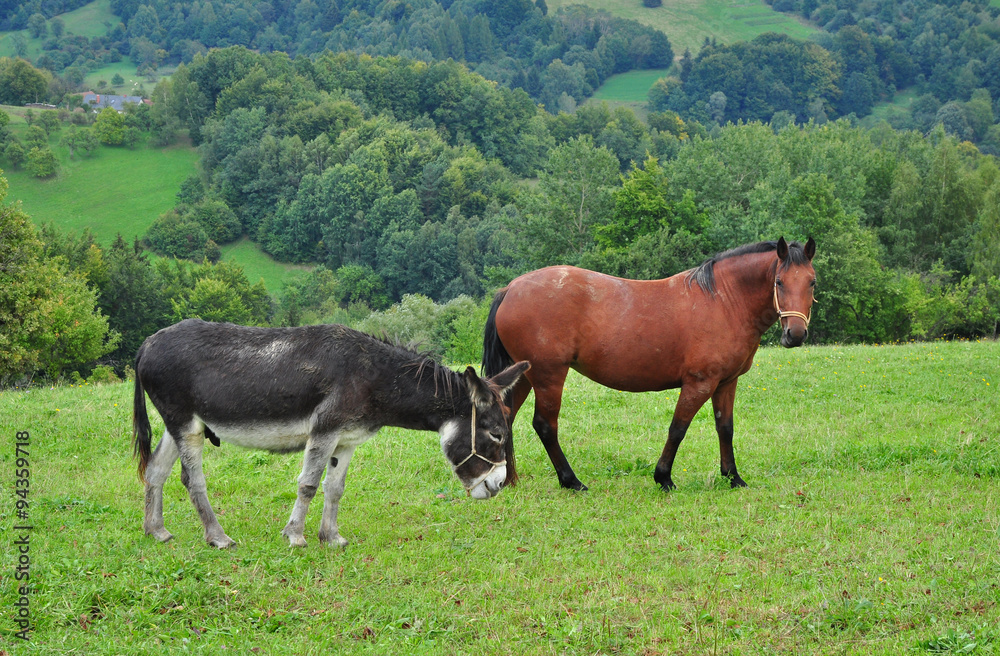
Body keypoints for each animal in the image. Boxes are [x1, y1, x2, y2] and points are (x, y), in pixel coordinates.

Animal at [484, 238, 820, 490]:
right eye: (779, 281)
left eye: (812, 282)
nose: (796, 334)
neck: (724, 301)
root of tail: (510, 289)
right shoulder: (699, 383)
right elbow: (678, 428)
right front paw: (663, 477)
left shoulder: (726, 382)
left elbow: (725, 428)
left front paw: (733, 477)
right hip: (549, 376)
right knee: (545, 424)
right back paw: (571, 481)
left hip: (523, 376)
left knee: (507, 418)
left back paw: (510, 480)